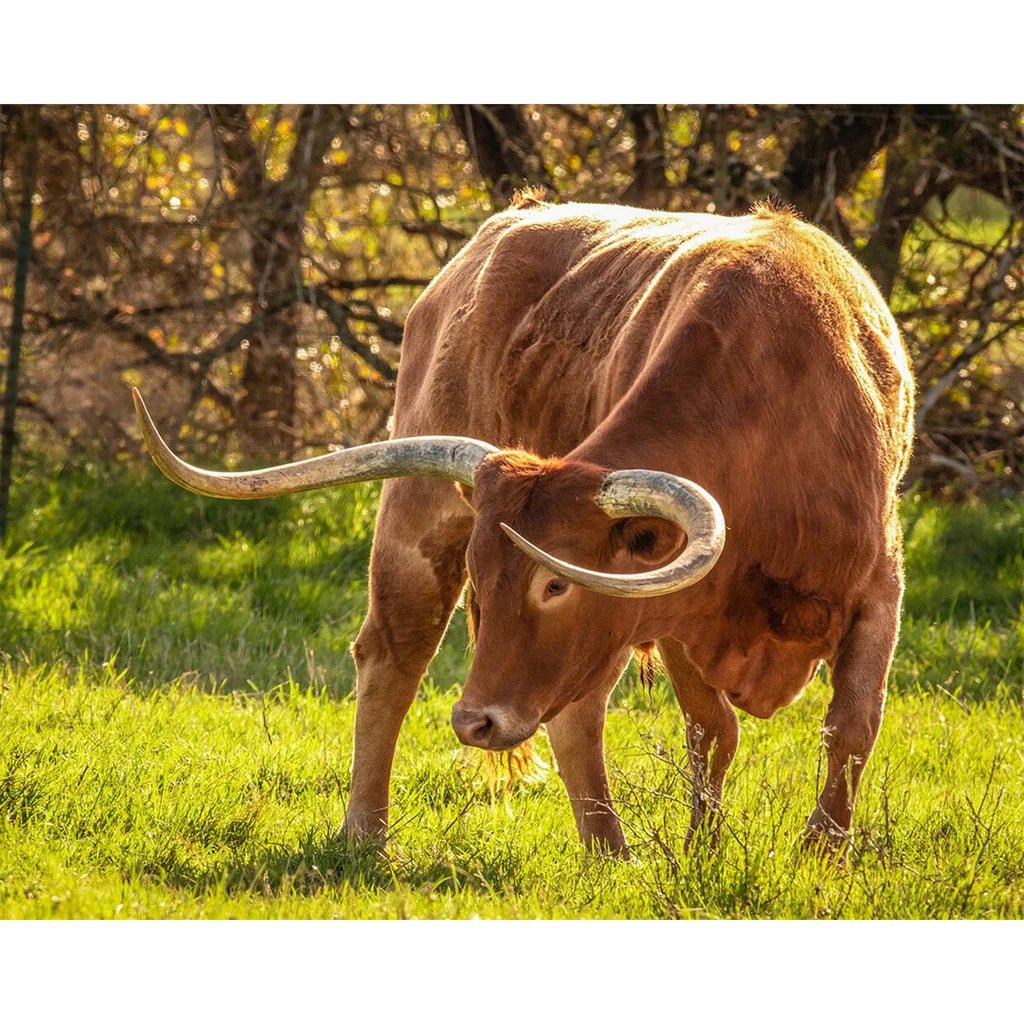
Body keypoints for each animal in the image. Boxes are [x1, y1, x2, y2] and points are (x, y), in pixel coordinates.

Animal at [133, 195, 914, 858]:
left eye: (555, 586)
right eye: (482, 581)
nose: (472, 722)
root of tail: (499, 231)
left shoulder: (878, 585)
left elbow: (853, 726)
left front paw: (820, 851)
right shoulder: (677, 612)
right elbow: (713, 729)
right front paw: (702, 851)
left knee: (572, 709)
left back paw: (605, 850)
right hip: (420, 524)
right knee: (397, 657)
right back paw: (375, 834)